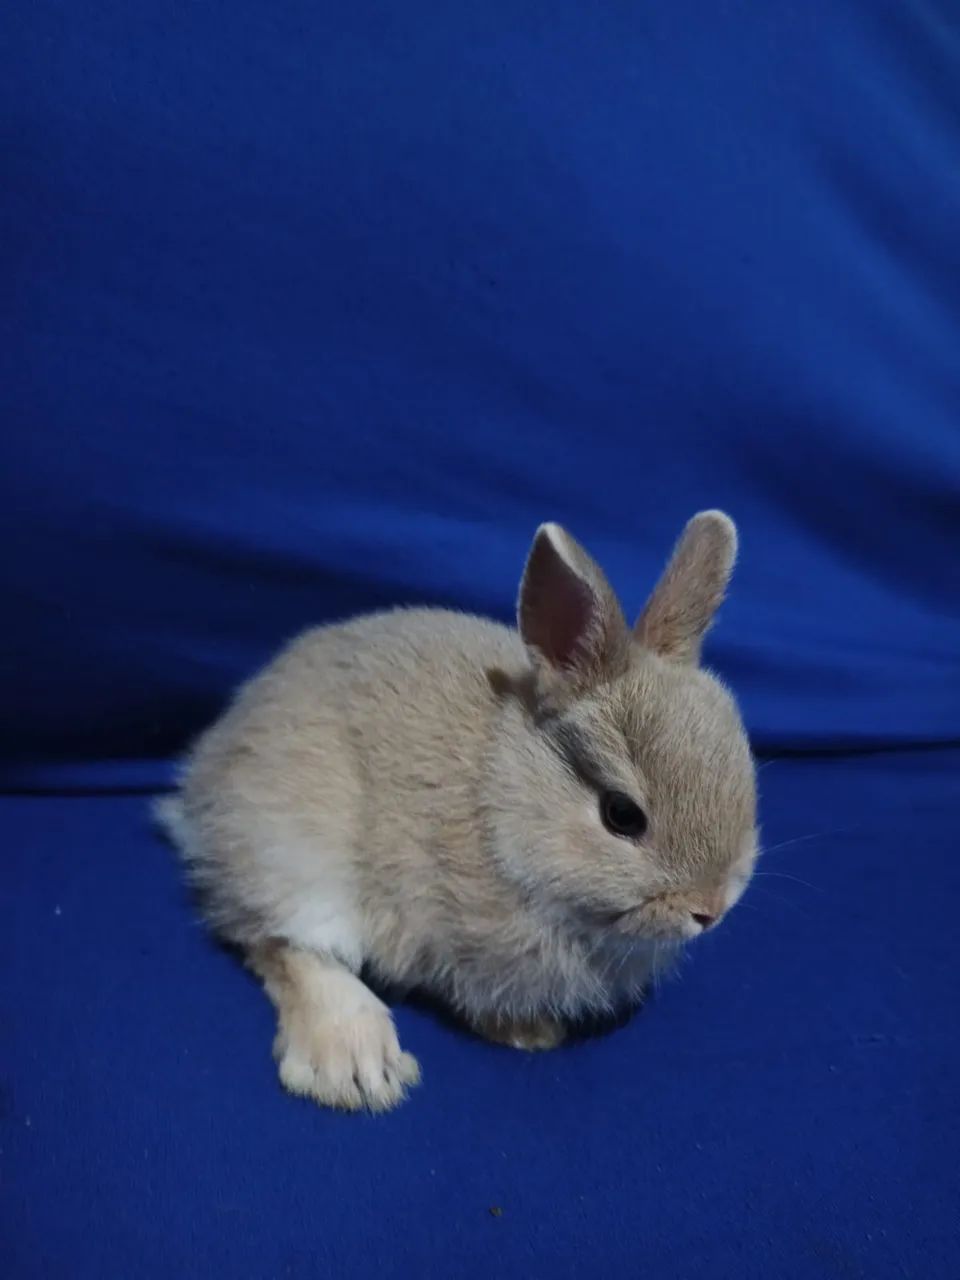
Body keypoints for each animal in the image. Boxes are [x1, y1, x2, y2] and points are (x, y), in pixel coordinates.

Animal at [157, 511, 757, 1112]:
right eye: (621, 814)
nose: (710, 910)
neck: (501, 802)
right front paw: (531, 1036)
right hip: (290, 849)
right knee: (279, 944)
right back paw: (357, 1065)